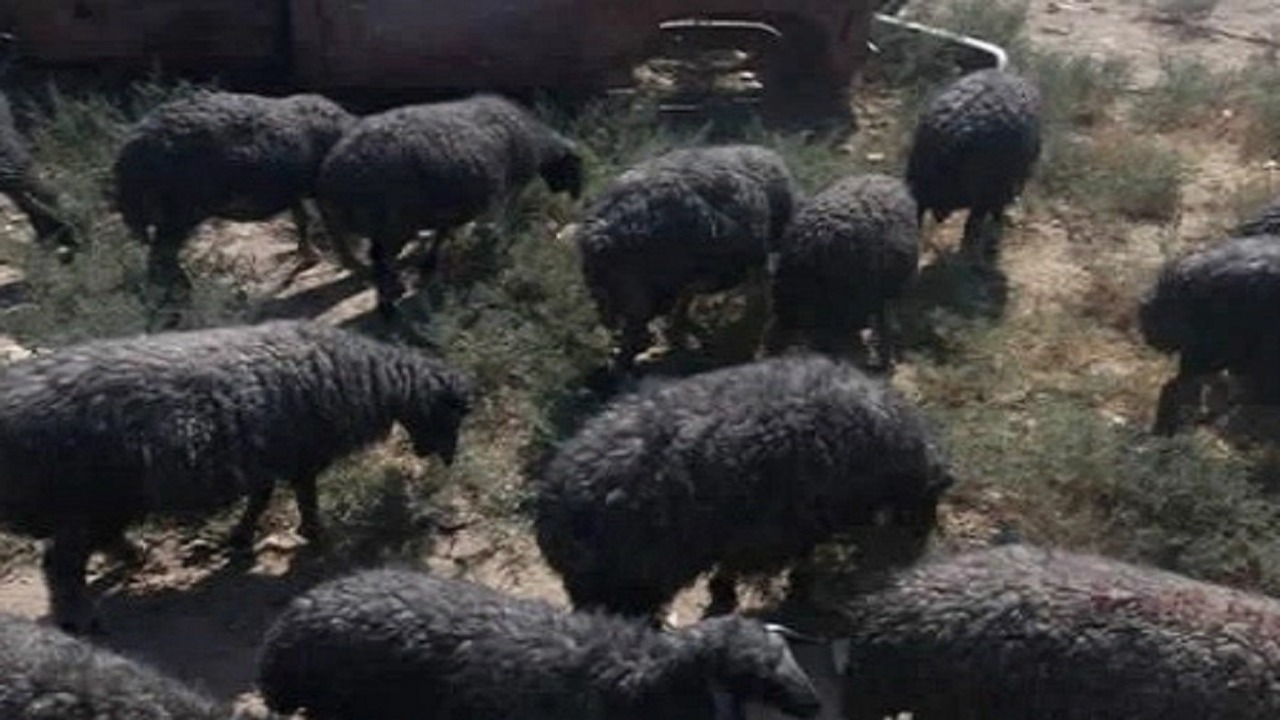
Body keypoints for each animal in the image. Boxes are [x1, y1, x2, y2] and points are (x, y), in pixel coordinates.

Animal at [0, 319, 474, 634]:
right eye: (452, 414)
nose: (447, 459)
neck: (367, 377)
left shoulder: (267, 459)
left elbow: (262, 498)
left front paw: (241, 539)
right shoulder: (301, 454)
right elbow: (304, 495)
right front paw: (316, 535)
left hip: (107, 501)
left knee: (93, 545)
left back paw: (136, 557)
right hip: (85, 500)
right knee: (60, 563)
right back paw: (81, 616)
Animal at [112, 90, 356, 317]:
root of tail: (126, 159)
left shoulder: (295, 191)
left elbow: (302, 218)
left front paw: (311, 255)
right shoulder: (321, 193)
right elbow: (332, 229)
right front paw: (353, 266)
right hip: (178, 212)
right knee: (162, 258)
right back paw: (181, 297)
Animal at [315, 93, 584, 321]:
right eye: (574, 168)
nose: (576, 197)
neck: (534, 139)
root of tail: (332, 174)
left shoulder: (449, 207)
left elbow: (443, 234)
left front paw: (429, 266)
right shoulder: (504, 192)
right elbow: (500, 223)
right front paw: (497, 248)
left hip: (387, 225)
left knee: (379, 260)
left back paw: (390, 295)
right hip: (393, 224)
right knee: (381, 261)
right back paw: (388, 304)